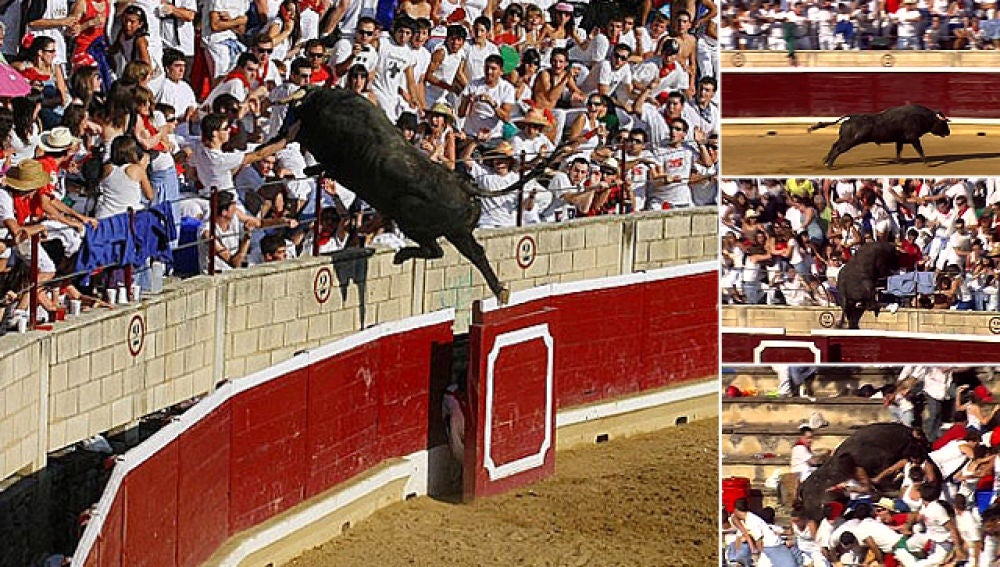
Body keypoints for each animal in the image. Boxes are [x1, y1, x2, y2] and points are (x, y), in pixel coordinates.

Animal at [282, 87, 568, 304]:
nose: (285, 133)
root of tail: (465, 186)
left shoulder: (336, 163)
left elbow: (323, 165)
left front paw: (308, 168)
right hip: (459, 232)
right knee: (476, 253)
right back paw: (501, 291)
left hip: (411, 219)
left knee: (436, 250)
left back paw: (401, 255)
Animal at [808, 103, 948, 168]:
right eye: (943, 123)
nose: (948, 132)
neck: (923, 117)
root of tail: (850, 118)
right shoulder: (913, 138)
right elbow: (920, 150)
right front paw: (927, 163)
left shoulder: (900, 140)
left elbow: (899, 151)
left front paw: (899, 162)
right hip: (849, 141)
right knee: (837, 149)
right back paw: (830, 165)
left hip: (844, 139)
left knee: (834, 146)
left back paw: (826, 161)